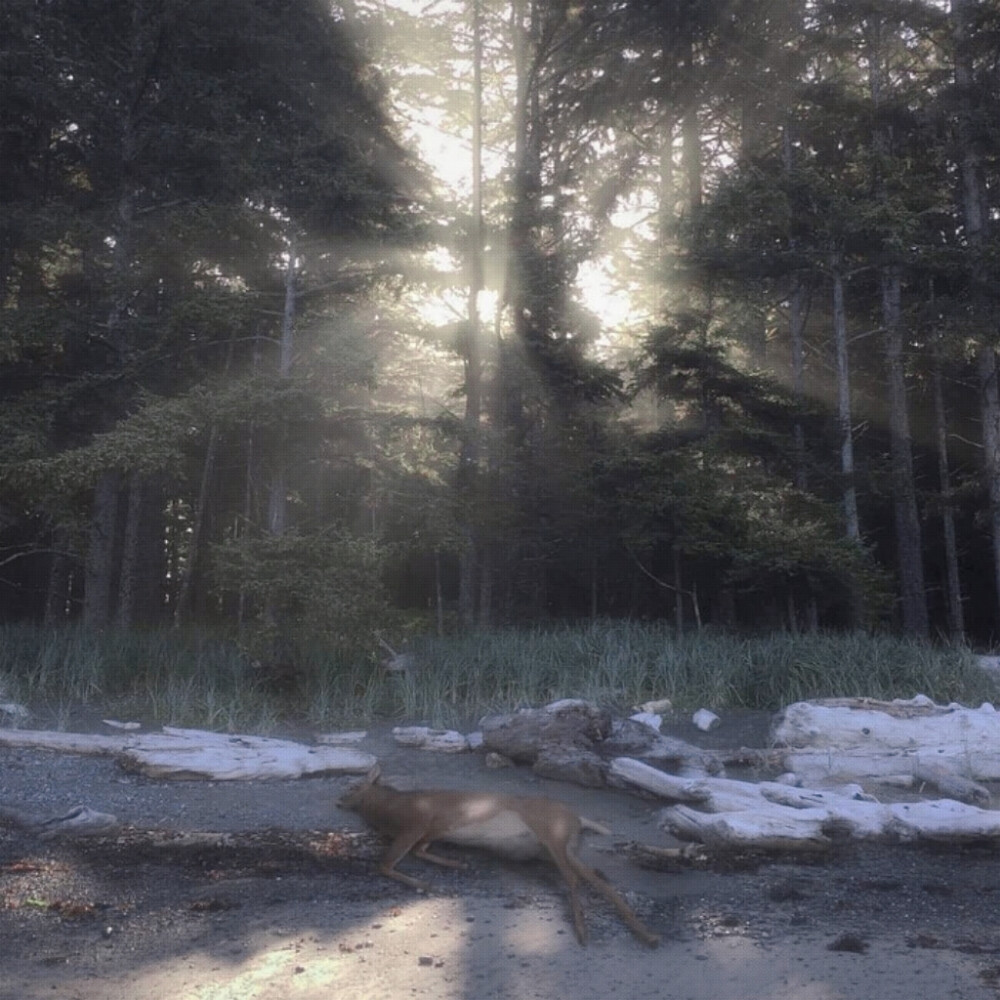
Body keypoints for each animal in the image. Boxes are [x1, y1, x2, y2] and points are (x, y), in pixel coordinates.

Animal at [340, 764, 660, 944]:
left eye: (353, 785)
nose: (338, 800)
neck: (385, 811)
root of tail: (578, 819)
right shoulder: (428, 833)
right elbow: (420, 852)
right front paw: (456, 864)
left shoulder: (416, 823)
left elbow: (384, 864)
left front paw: (426, 884)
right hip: (559, 848)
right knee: (598, 880)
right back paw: (647, 935)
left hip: (553, 835)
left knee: (574, 879)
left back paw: (584, 932)